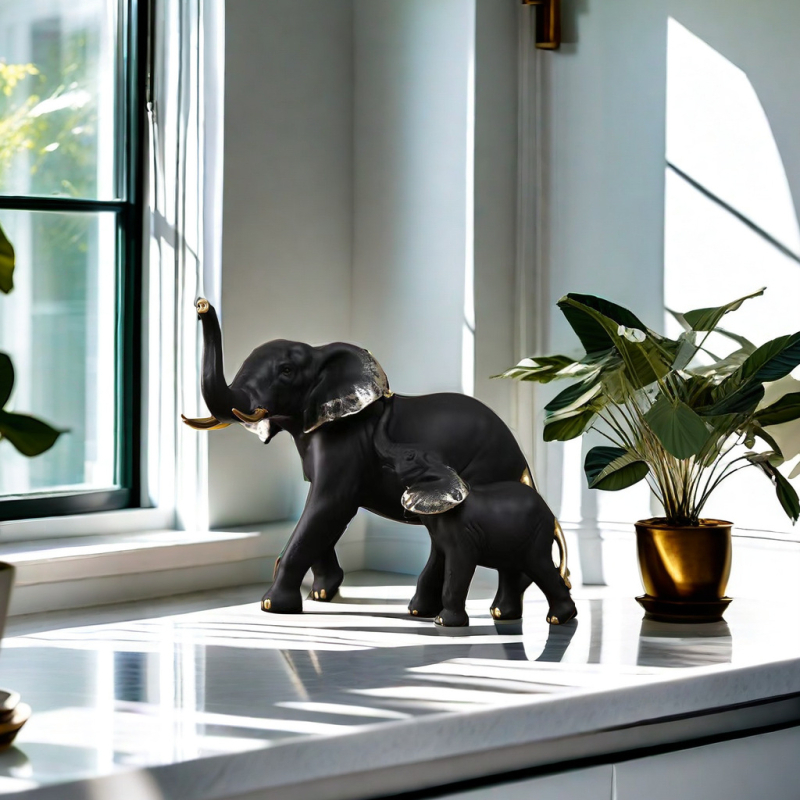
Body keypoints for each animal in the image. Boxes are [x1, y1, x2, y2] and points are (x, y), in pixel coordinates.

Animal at [373, 406, 576, 626]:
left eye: (410, 456)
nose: (387, 398)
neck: (446, 472)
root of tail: (553, 517)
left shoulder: (462, 534)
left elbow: (458, 568)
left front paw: (443, 622)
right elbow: (434, 564)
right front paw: (422, 613)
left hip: (536, 537)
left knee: (541, 567)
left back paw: (558, 618)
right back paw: (503, 615)